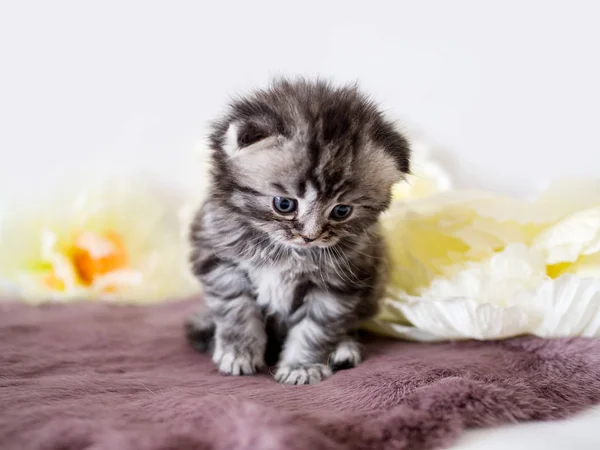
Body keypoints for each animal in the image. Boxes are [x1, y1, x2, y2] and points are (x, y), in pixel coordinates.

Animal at [188, 77, 410, 384]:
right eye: (284, 204)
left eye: (341, 211)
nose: (310, 236)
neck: (285, 252)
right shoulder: (219, 260)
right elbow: (236, 310)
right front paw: (238, 353)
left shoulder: (340, 282)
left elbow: (315, 328)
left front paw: (301, 366)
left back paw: (344, 349)